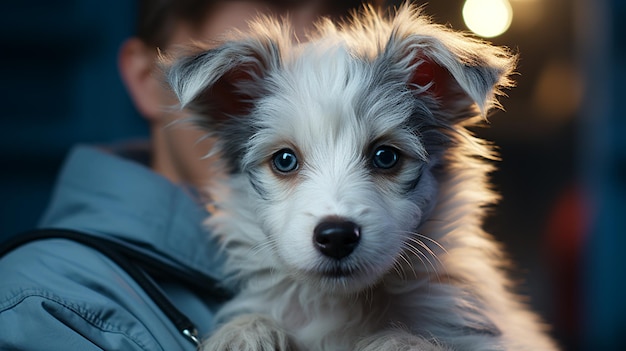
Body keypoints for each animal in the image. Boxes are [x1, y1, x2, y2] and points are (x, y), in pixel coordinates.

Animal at [165, 3, 556, 351]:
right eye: (285, 160)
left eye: (386, 157)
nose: (336, 236)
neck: (344, 302)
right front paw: (244, 331)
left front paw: (398, 341)